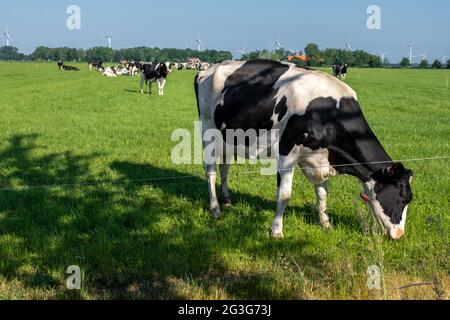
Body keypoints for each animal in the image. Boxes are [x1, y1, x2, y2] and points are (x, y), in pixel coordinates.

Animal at [195, 60, 414, 240]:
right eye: (403, 198)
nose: (400, 235)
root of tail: (208, 69)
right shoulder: (286, 152)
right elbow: (284, 195)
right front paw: (276, 231)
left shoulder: (319, 158)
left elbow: (323, 193)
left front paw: (325, 223)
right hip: (208, 132)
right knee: (211, 171)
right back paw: (215, 208)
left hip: (227, 138)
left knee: (225, 168)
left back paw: (226, 200)